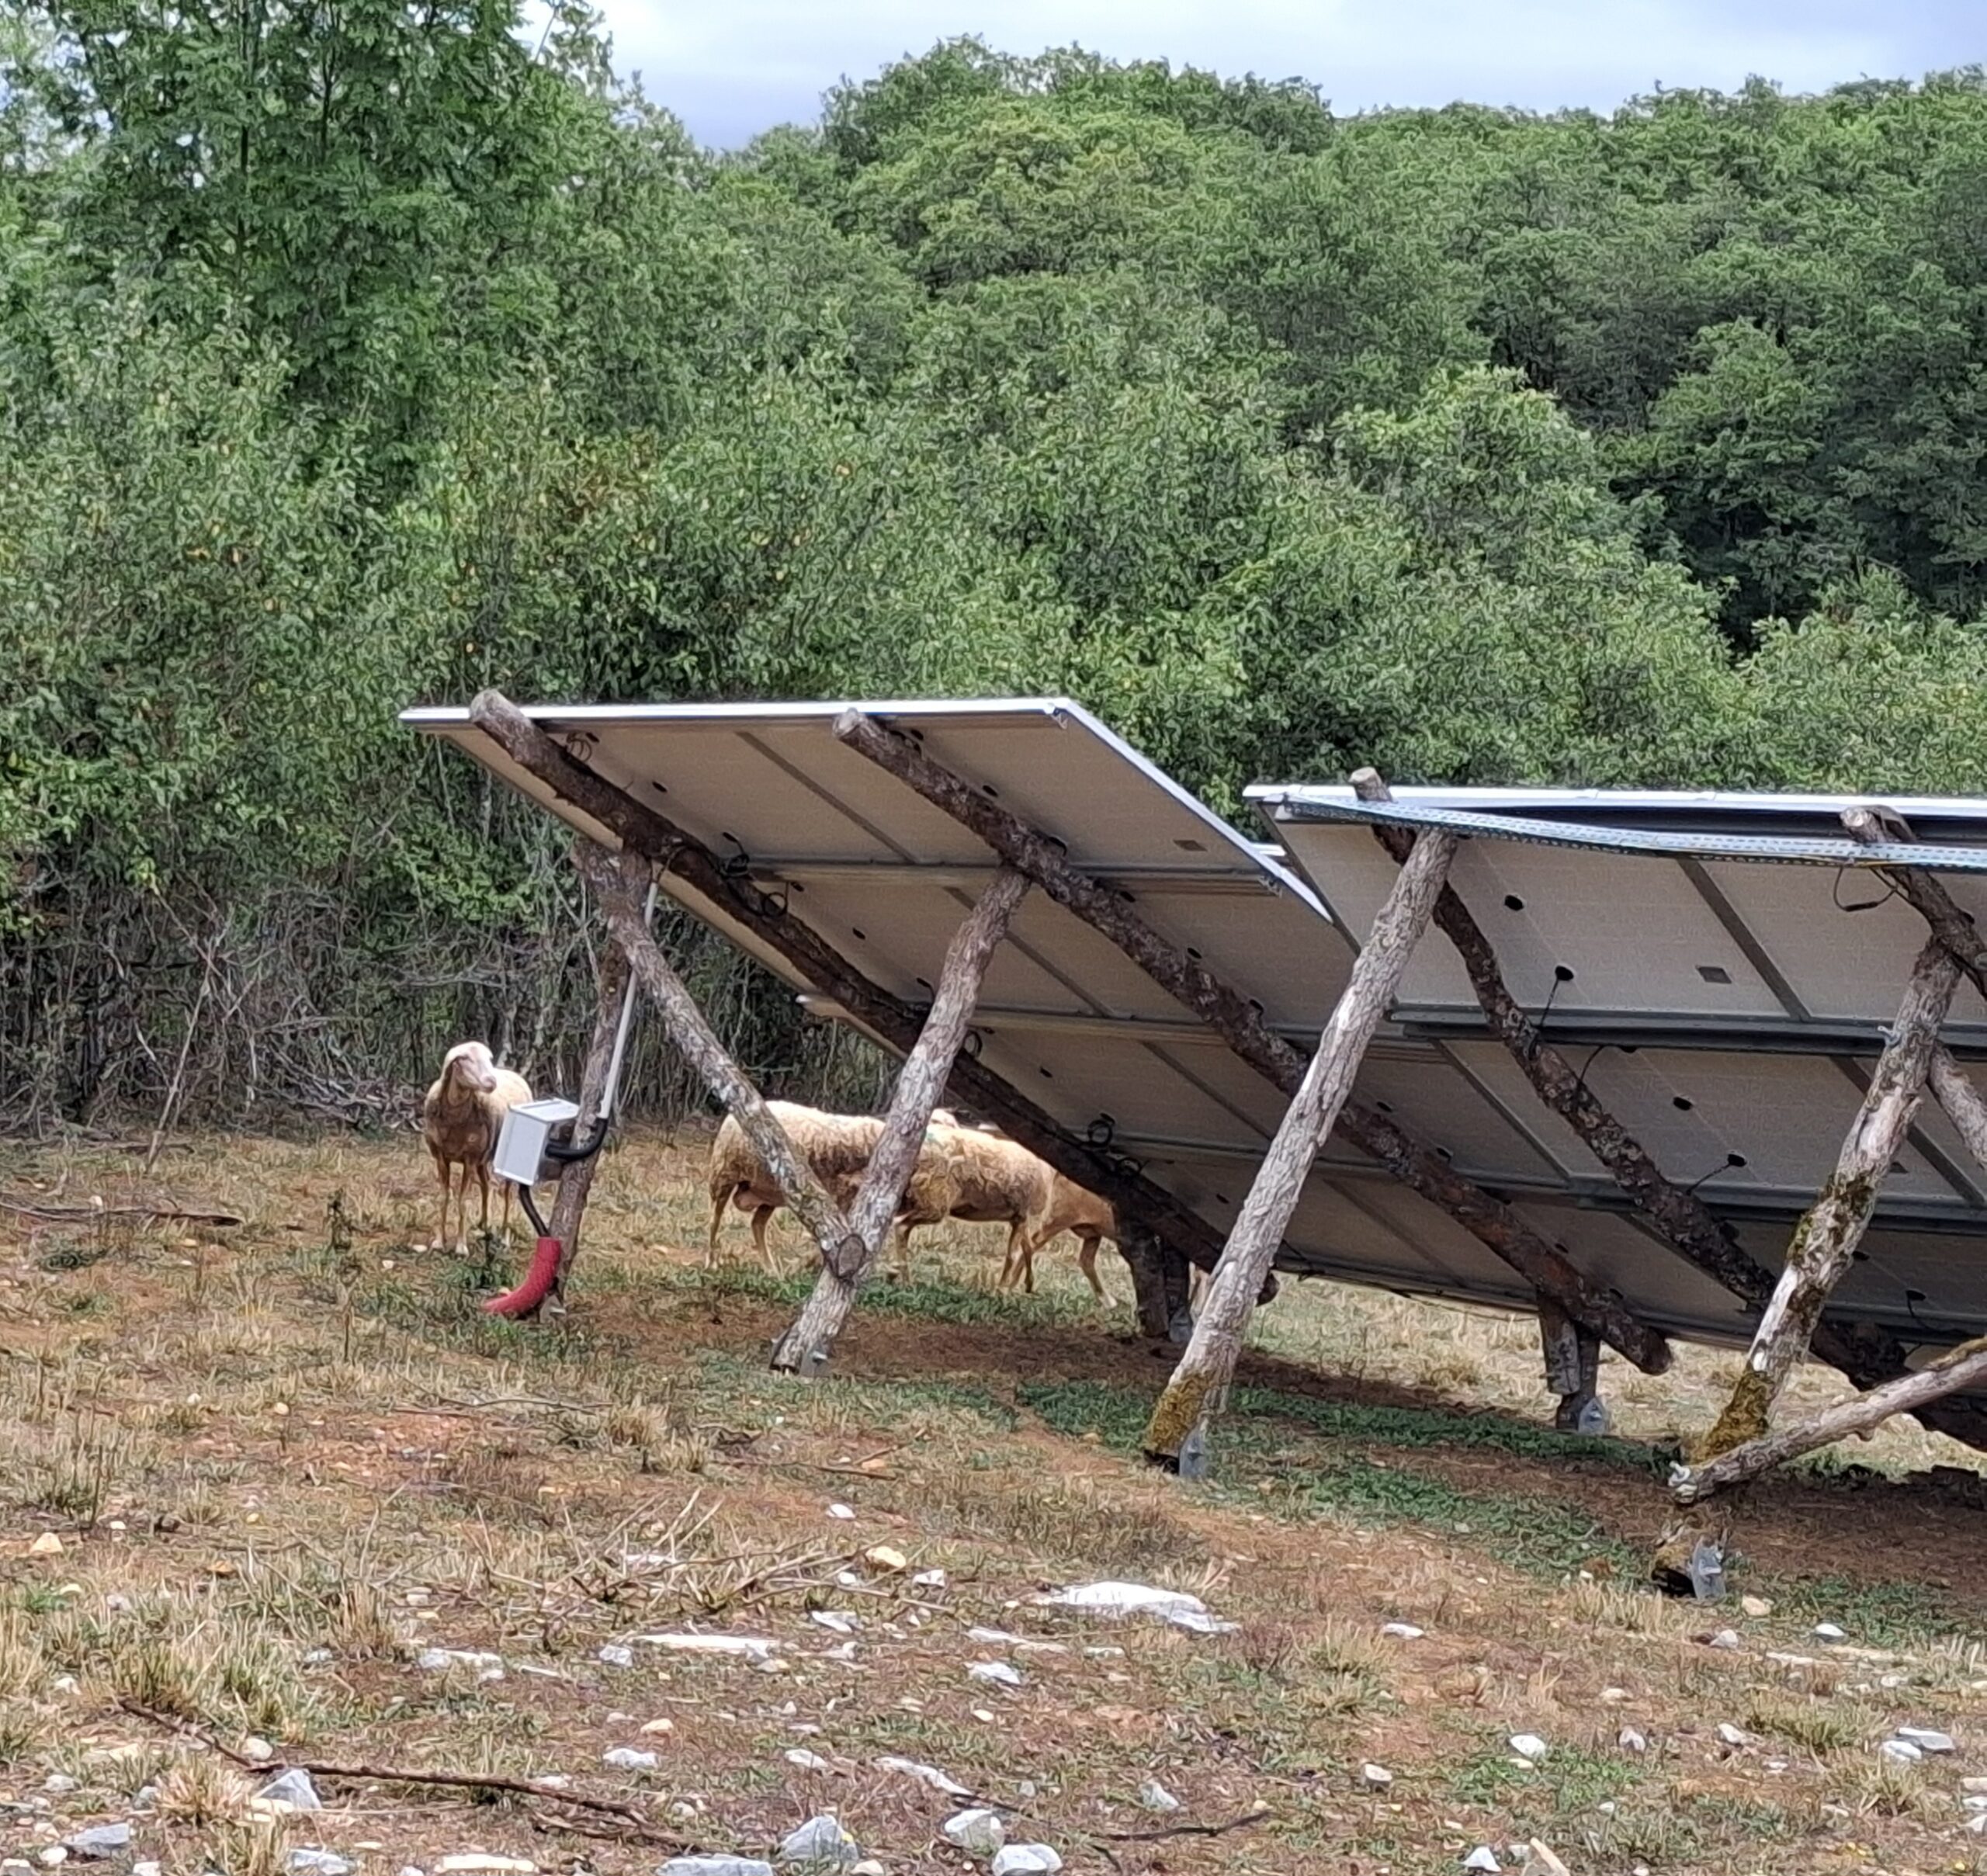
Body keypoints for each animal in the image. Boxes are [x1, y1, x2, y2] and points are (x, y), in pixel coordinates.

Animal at [422, 1040, 532, 1253]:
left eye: (489, 1058)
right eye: (465, 1058)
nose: (491, 1081)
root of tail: (517, 1076)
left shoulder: (469, 1159)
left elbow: (463, 1201)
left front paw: (461, 1246)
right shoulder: (442, 1157)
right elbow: (443, 1198)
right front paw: (439, 1242)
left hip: (506, 1158)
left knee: (508, 1195)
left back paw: (505, 1238)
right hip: (484, 1156)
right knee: (487, 1185)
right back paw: (484, 1226)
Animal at [704, 1101, 964, 1273]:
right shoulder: (843, 1195)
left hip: (771, 1193)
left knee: (757, 1224)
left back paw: (772, 1271)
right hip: (724, 1173)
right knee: (715, 1219)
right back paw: (711, 1261)